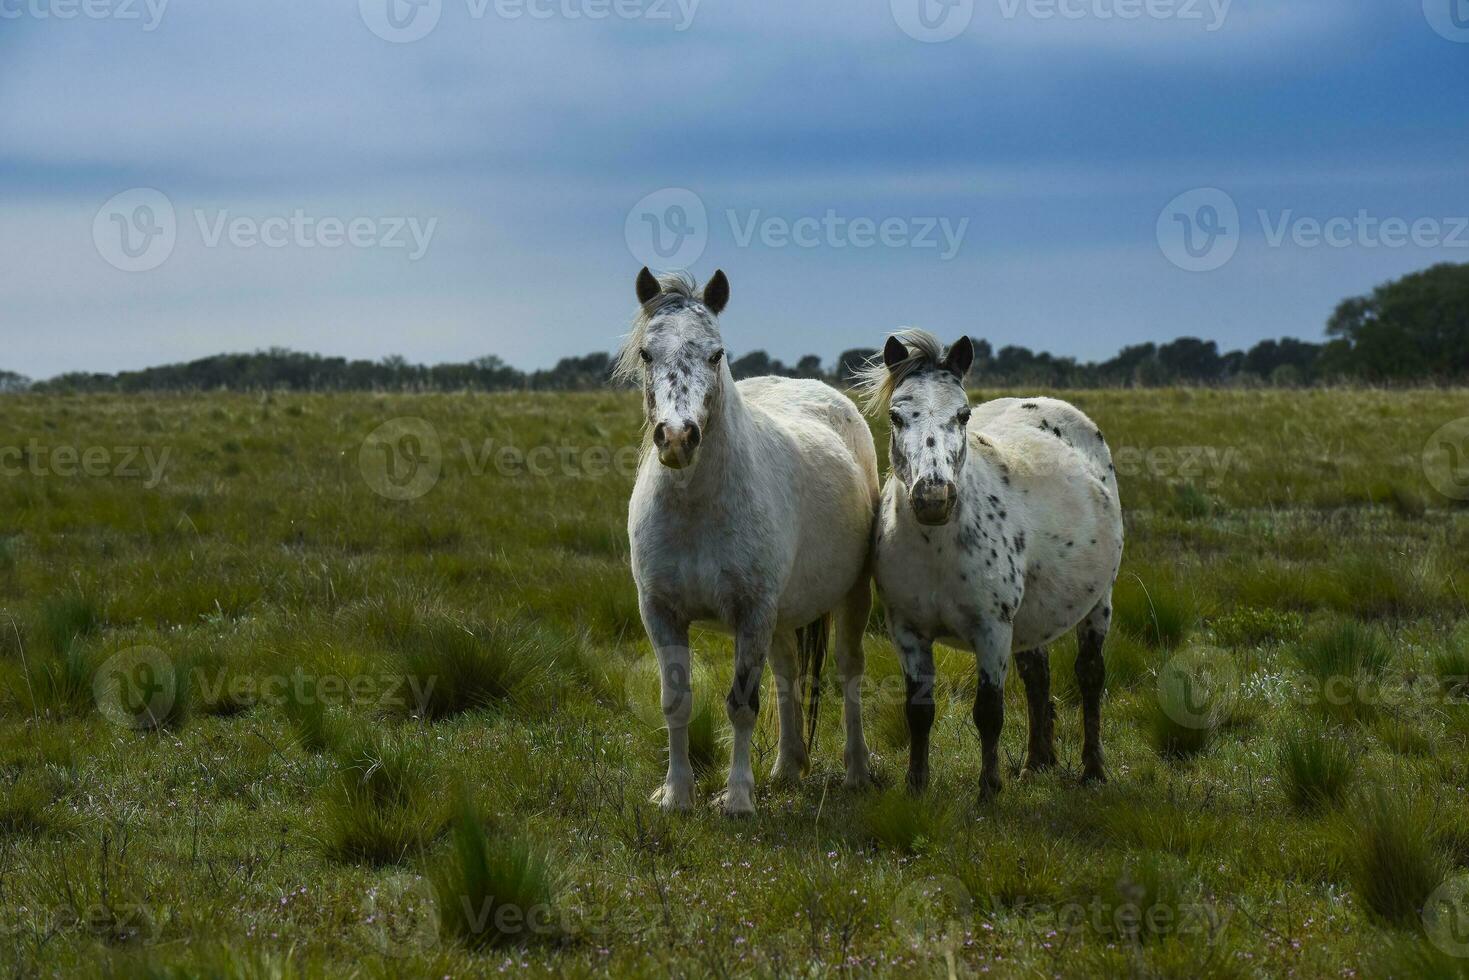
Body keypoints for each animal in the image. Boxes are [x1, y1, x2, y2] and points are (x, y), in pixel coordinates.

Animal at [616, 271, 875, 816]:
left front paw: (736, 799)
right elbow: (677, 702)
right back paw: (787, 767)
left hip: (850, 597)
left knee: (849, 672)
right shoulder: (661, 613)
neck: (696, 506)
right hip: (779, 617)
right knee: (786, 672)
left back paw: (857, 772)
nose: (677, 438)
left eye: (716, 354)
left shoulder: (751, 611)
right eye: (648, 353)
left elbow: (740, 706)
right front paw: (676, 794)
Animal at [857, 329, 1116, 799]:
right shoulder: (906, 630)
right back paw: (1036, 763)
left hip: (1098, 603)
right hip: (1032, 618)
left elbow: (989, 711)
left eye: (963, 415)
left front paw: (989, 790)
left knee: (1089, 676)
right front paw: (916, 786)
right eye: (896, 417)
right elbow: (919, 710)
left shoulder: (992, 629)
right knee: (1037, 675)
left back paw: (1092, 770)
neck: (938, 550)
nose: (933, 498)